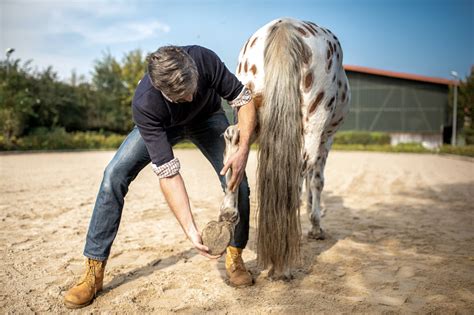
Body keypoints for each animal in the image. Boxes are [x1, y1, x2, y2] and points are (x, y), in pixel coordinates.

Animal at [220, 17, 350, 278]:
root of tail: (285, 26)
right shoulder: (326, 139)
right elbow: (316, 181)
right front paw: (316, 225)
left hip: (250, 111)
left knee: (234, 139)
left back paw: (229, 211)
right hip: (314, 122)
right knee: (298, 168)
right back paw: (283, 264)